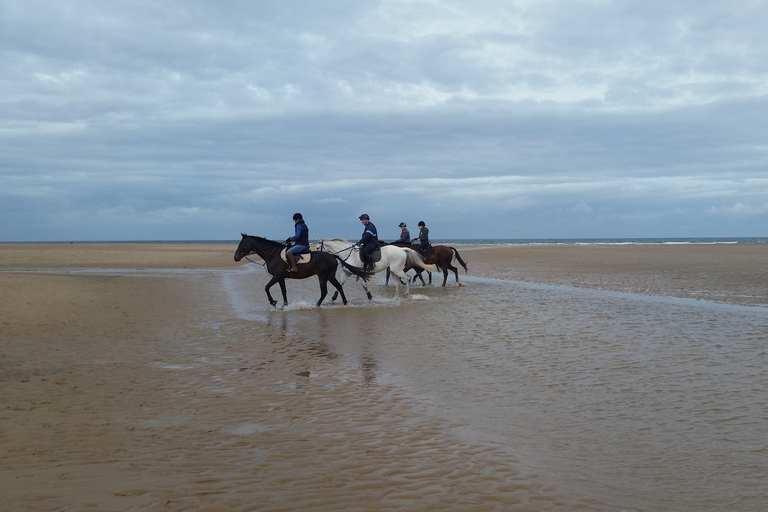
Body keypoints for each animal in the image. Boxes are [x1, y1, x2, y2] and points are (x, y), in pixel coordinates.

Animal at [234, 233, 372, 308]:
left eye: (242, 243)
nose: (235, 257)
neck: (273, 253)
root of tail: (333, 256)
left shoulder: (277, 276)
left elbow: (266, 287)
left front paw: (273, 302)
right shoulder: (281, 277)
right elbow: (283, 291)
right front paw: (284, 305)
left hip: (322, 276)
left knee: (324, 291)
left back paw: (316, 305)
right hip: (330, 276)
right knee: (338, 286)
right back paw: (344, 303)